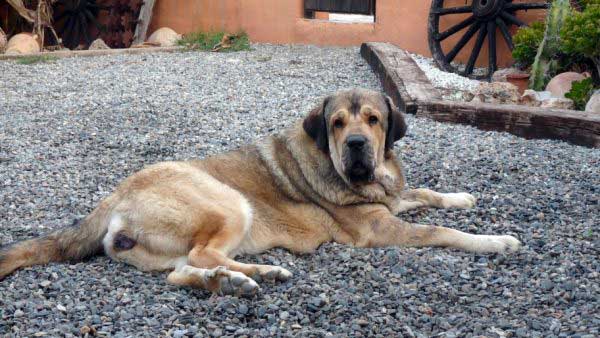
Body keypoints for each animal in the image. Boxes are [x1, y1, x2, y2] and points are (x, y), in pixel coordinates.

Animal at [0, 89, 520, 296]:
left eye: (374, 120)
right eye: (337, 123)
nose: (356, 145)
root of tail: (113, 196)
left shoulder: (391, 199)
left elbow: (428, 194)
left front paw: (462, 198)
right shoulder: (380, 227)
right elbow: (442, 232)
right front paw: (495, 241)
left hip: (176, 247)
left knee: (181, 272)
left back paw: (233, 281)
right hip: (229, 203)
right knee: (204, 255)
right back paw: (257, 272)